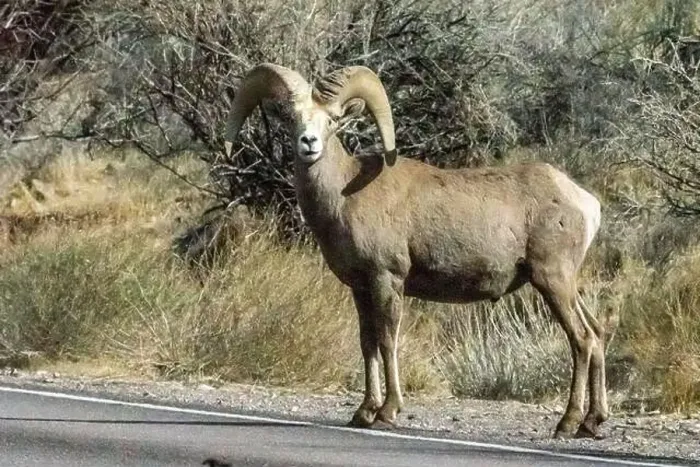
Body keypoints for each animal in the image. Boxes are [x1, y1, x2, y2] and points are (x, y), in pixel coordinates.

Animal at [223, 63, 609, 439]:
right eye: (292, 118)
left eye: (332, 119)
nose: (309, 143)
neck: (344, 196)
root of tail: (585, 202)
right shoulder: (361, 289)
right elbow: (367, 344)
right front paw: (363, 413)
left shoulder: (387, 280)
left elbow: (387, 341)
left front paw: (387, 413)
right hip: (565, 285)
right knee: (597, 334)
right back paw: (592, 423)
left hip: (552, 281)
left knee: (581, 339)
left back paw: (567, 424)